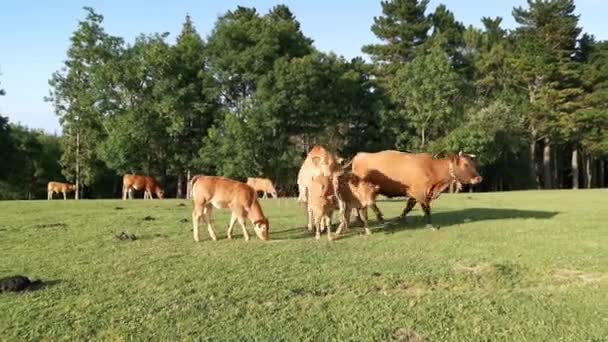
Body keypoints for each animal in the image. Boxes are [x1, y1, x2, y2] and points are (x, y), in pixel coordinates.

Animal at [354, 150, 482, 228]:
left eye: (473, 164)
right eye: (465, 164)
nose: (479, 178)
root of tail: (360, 155)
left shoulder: (415, 193)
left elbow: (408, 207)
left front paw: (400, 219)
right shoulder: (420, 191)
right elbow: (426, 208)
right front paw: (430, 225)